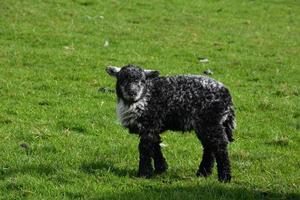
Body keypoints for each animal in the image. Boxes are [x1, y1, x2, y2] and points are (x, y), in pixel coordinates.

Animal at [106, 64, 237, 183]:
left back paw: (224, 177)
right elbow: (155, 144)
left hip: (210, 121)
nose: (132, 92)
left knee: (220, 145)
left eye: (143, 80)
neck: (144, 98)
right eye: (122, 79)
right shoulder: (152, 126)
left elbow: (145, 148)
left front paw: (144, 173)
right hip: (205, 124)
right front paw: (161, 168)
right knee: (209, 147)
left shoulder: (150, 123)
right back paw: (203, 173)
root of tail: (227, 95)